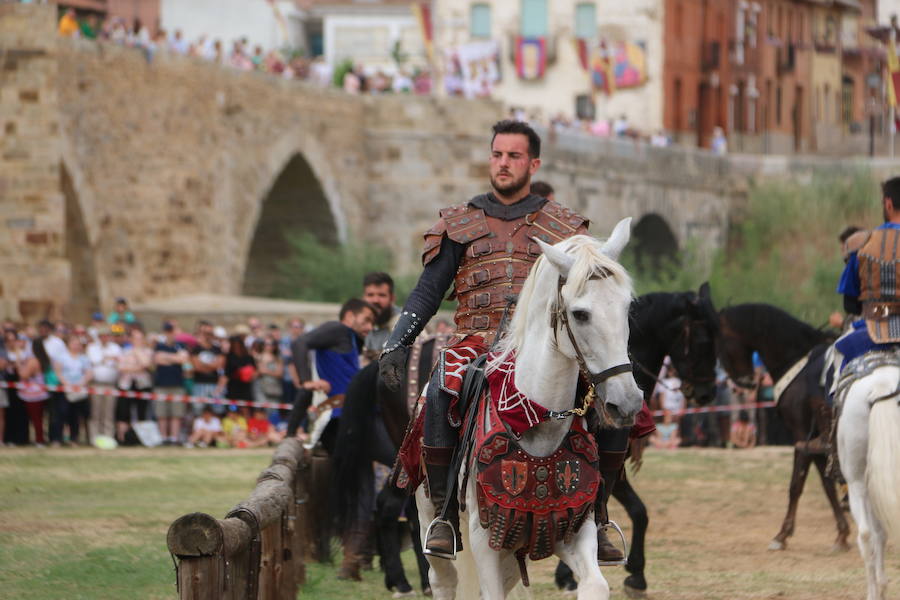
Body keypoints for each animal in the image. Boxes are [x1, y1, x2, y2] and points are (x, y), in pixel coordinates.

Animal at [414, 220, 648, 600]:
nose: (626, 401)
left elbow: (595, 584)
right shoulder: (485, 541)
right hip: (431, 523)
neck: (536, 419)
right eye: (580, 314)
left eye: (626, 308)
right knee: (443, 579)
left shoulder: (573, 529)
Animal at [552, 282, 720, 596]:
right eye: (703, 342)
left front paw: (637, 575)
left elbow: (639, 511)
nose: (707, 394)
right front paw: (567, 574)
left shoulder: (614, 466)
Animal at [712, 304, 848, 552]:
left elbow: (796, 485)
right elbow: (827, 485)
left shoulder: (801, 436)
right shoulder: (815, 440)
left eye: (720, 342)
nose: (744, 384)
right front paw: (842, 534)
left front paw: (782, 535)